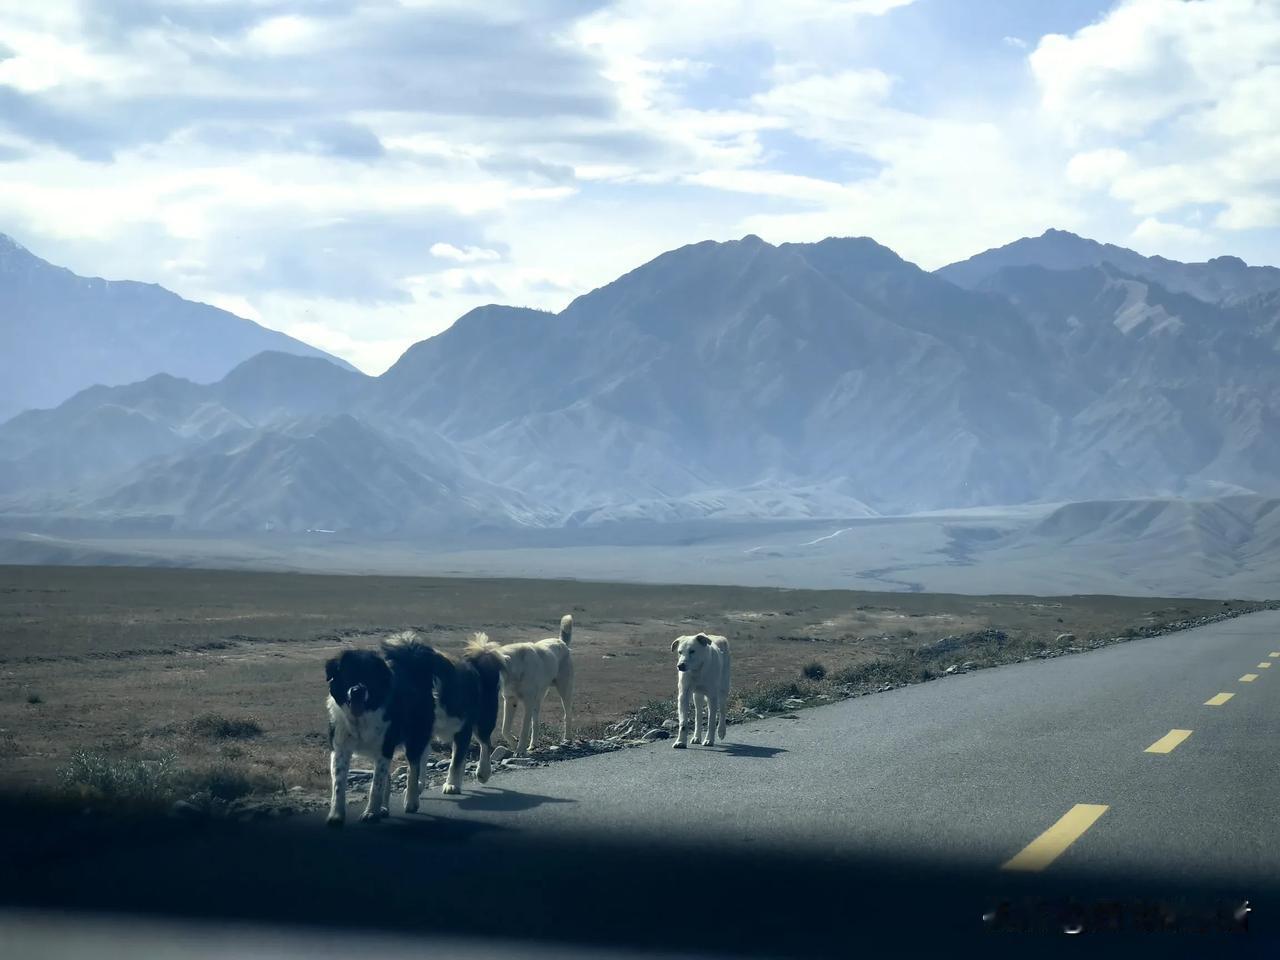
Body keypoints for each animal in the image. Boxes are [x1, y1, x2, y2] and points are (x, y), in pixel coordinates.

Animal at [322, 632, 501, 829]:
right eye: (348, 674)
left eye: (370, 677)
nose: (357, 691)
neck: (362, 718)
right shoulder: (341, 748)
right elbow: (340, 785)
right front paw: (337, 815)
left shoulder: (386, 747)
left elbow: (377, 784)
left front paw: (371, 813)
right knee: (423, 757)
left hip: (469, 724)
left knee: (483, 743)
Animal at [476, 616, 576, 757]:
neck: (515, 669)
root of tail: (562, 642)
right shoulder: (510, 700)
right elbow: (505, 729)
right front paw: (514, 744)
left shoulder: (527, 702)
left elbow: (524, 728)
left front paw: (520, 750)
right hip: (538, 699)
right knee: (536, 722)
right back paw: (533, 744)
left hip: (564, 691)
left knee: (567, 715)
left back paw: (567, 739)